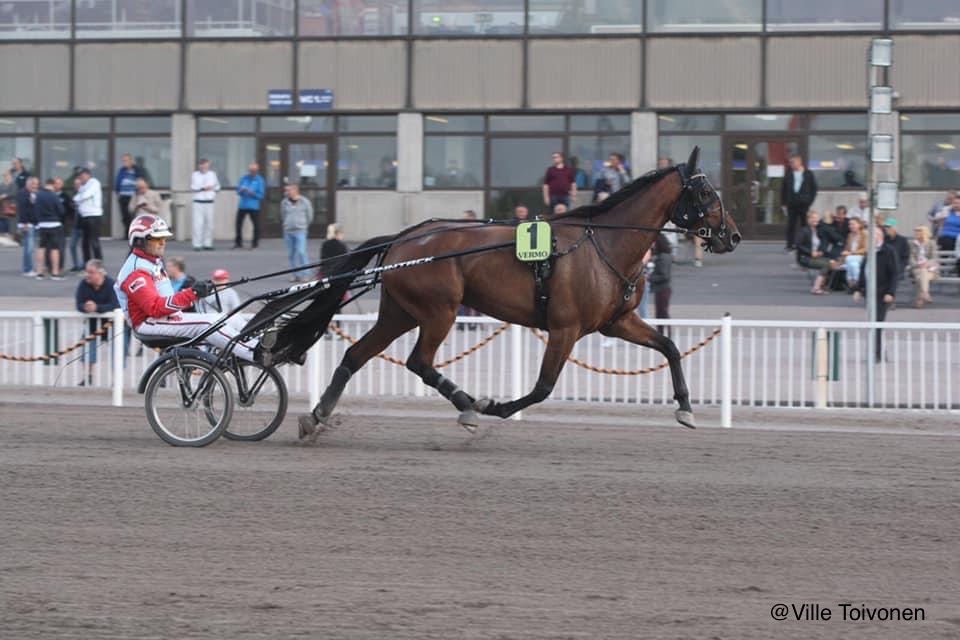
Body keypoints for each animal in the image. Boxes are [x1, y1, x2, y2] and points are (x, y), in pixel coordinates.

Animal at [274, 149, 740, 440]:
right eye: (705, 192)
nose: (732, 236)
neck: (603, 244)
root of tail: (404, 238)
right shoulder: (565, 328)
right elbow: (543, 387)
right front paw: (495, 406)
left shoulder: (616, 322)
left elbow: (670, 347)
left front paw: (685, 407)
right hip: (439, 311)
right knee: (419, 362)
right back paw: (467, 404)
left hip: (400, 312)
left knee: (356, 355)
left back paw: (316, 417)